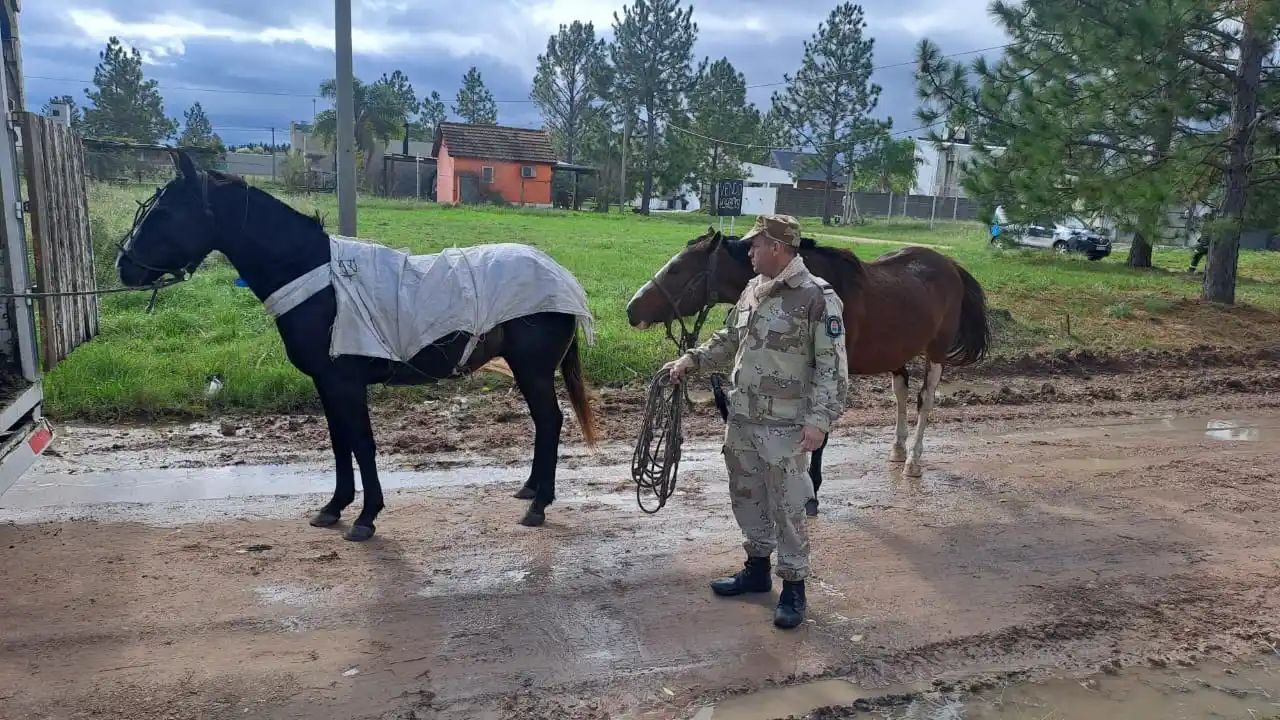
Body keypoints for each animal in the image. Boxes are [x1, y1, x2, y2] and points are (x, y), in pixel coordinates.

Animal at [116, 149, 598, 540]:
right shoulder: (326, 384)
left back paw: (540, 505)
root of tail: (560, 274)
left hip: (533, 369)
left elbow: (362, 443)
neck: (318, 278)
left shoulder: (345, 382)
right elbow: (339, 442)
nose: (124, 267)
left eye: (163, 213)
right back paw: (530, 490)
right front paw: (334, 507)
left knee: (550, 421)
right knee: (543, 423)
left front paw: (366, 517)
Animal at [625, 227, 990, 511]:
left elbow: (819, 436)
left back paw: (913, 460)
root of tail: (951, 265)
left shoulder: (827, 374)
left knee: (924, 400)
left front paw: (811, 491)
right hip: (898, 352)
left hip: (936, 352)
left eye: (676, 269)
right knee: (900, 393)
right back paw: (898, 450)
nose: (631, 310)